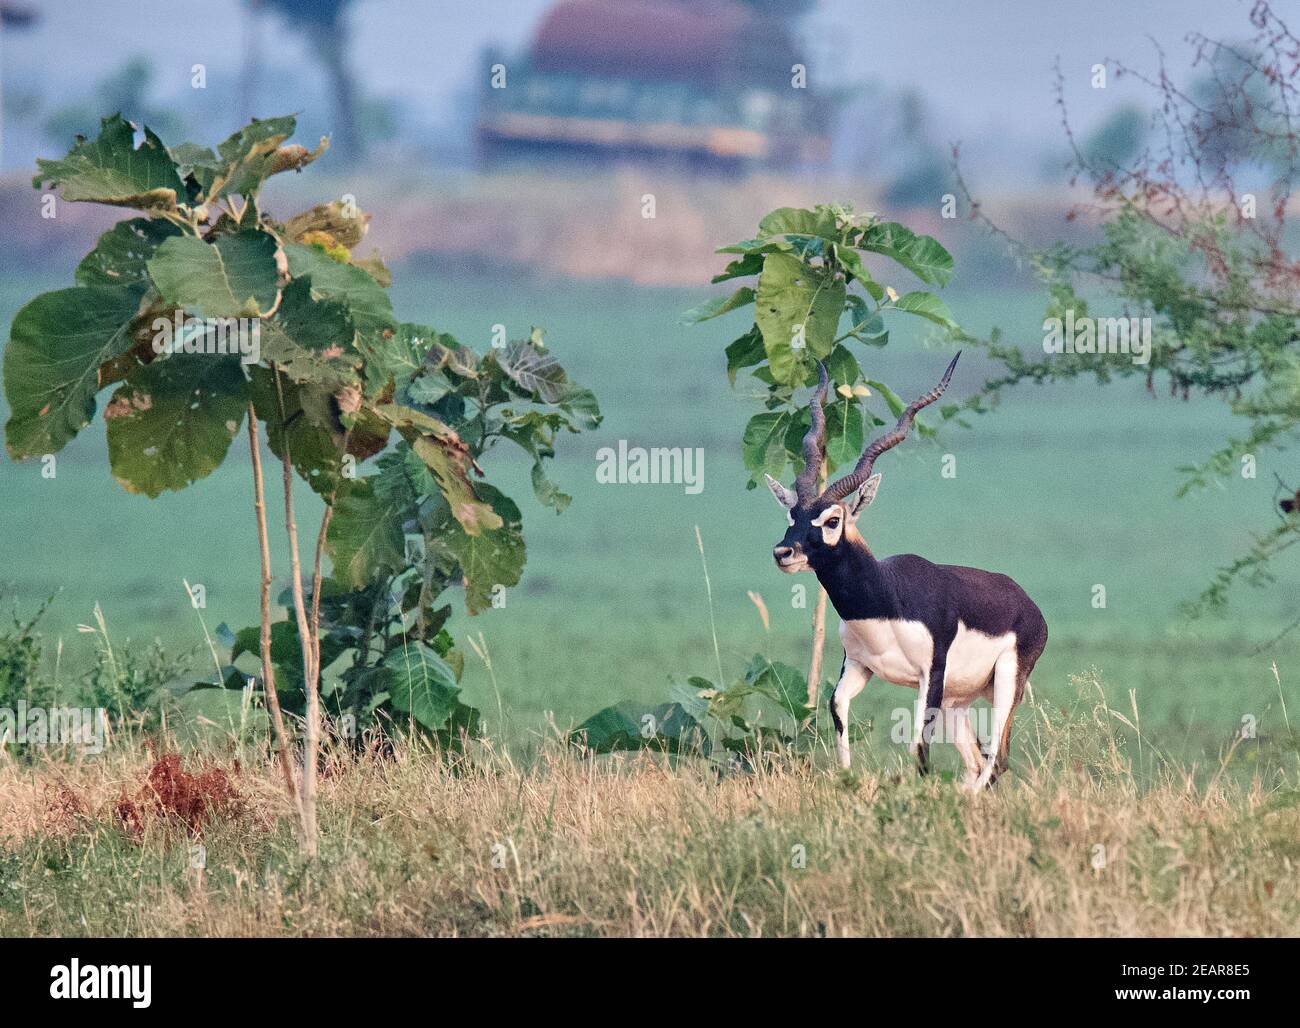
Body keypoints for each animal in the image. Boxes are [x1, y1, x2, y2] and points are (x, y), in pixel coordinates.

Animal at [767, 354, 1047, 789]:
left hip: (1005, 683)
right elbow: (837, 712)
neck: (886, 598)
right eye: (792, 515)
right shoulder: (859, 666)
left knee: (996, 760)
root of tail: (1027, 602)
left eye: (832, 520)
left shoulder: (930, 674)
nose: (784, 552)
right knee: (978, 760)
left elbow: (918, 746)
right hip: (957, 700)